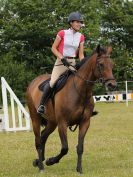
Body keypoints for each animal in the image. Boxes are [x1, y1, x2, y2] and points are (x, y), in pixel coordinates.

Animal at [26, 44, 117, 173]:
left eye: (112, 64)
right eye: (100, 64)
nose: (112, 85)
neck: (80, 91)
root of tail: (33, 82)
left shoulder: (85, 122)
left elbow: (80, 147)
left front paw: (79, 169)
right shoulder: (62, 123)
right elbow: (65, 148)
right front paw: (51, 161)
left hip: (52, 122)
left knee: (43, 136)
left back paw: (38, 161)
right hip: (36, 118)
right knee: (38, 141)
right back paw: (41, 167)